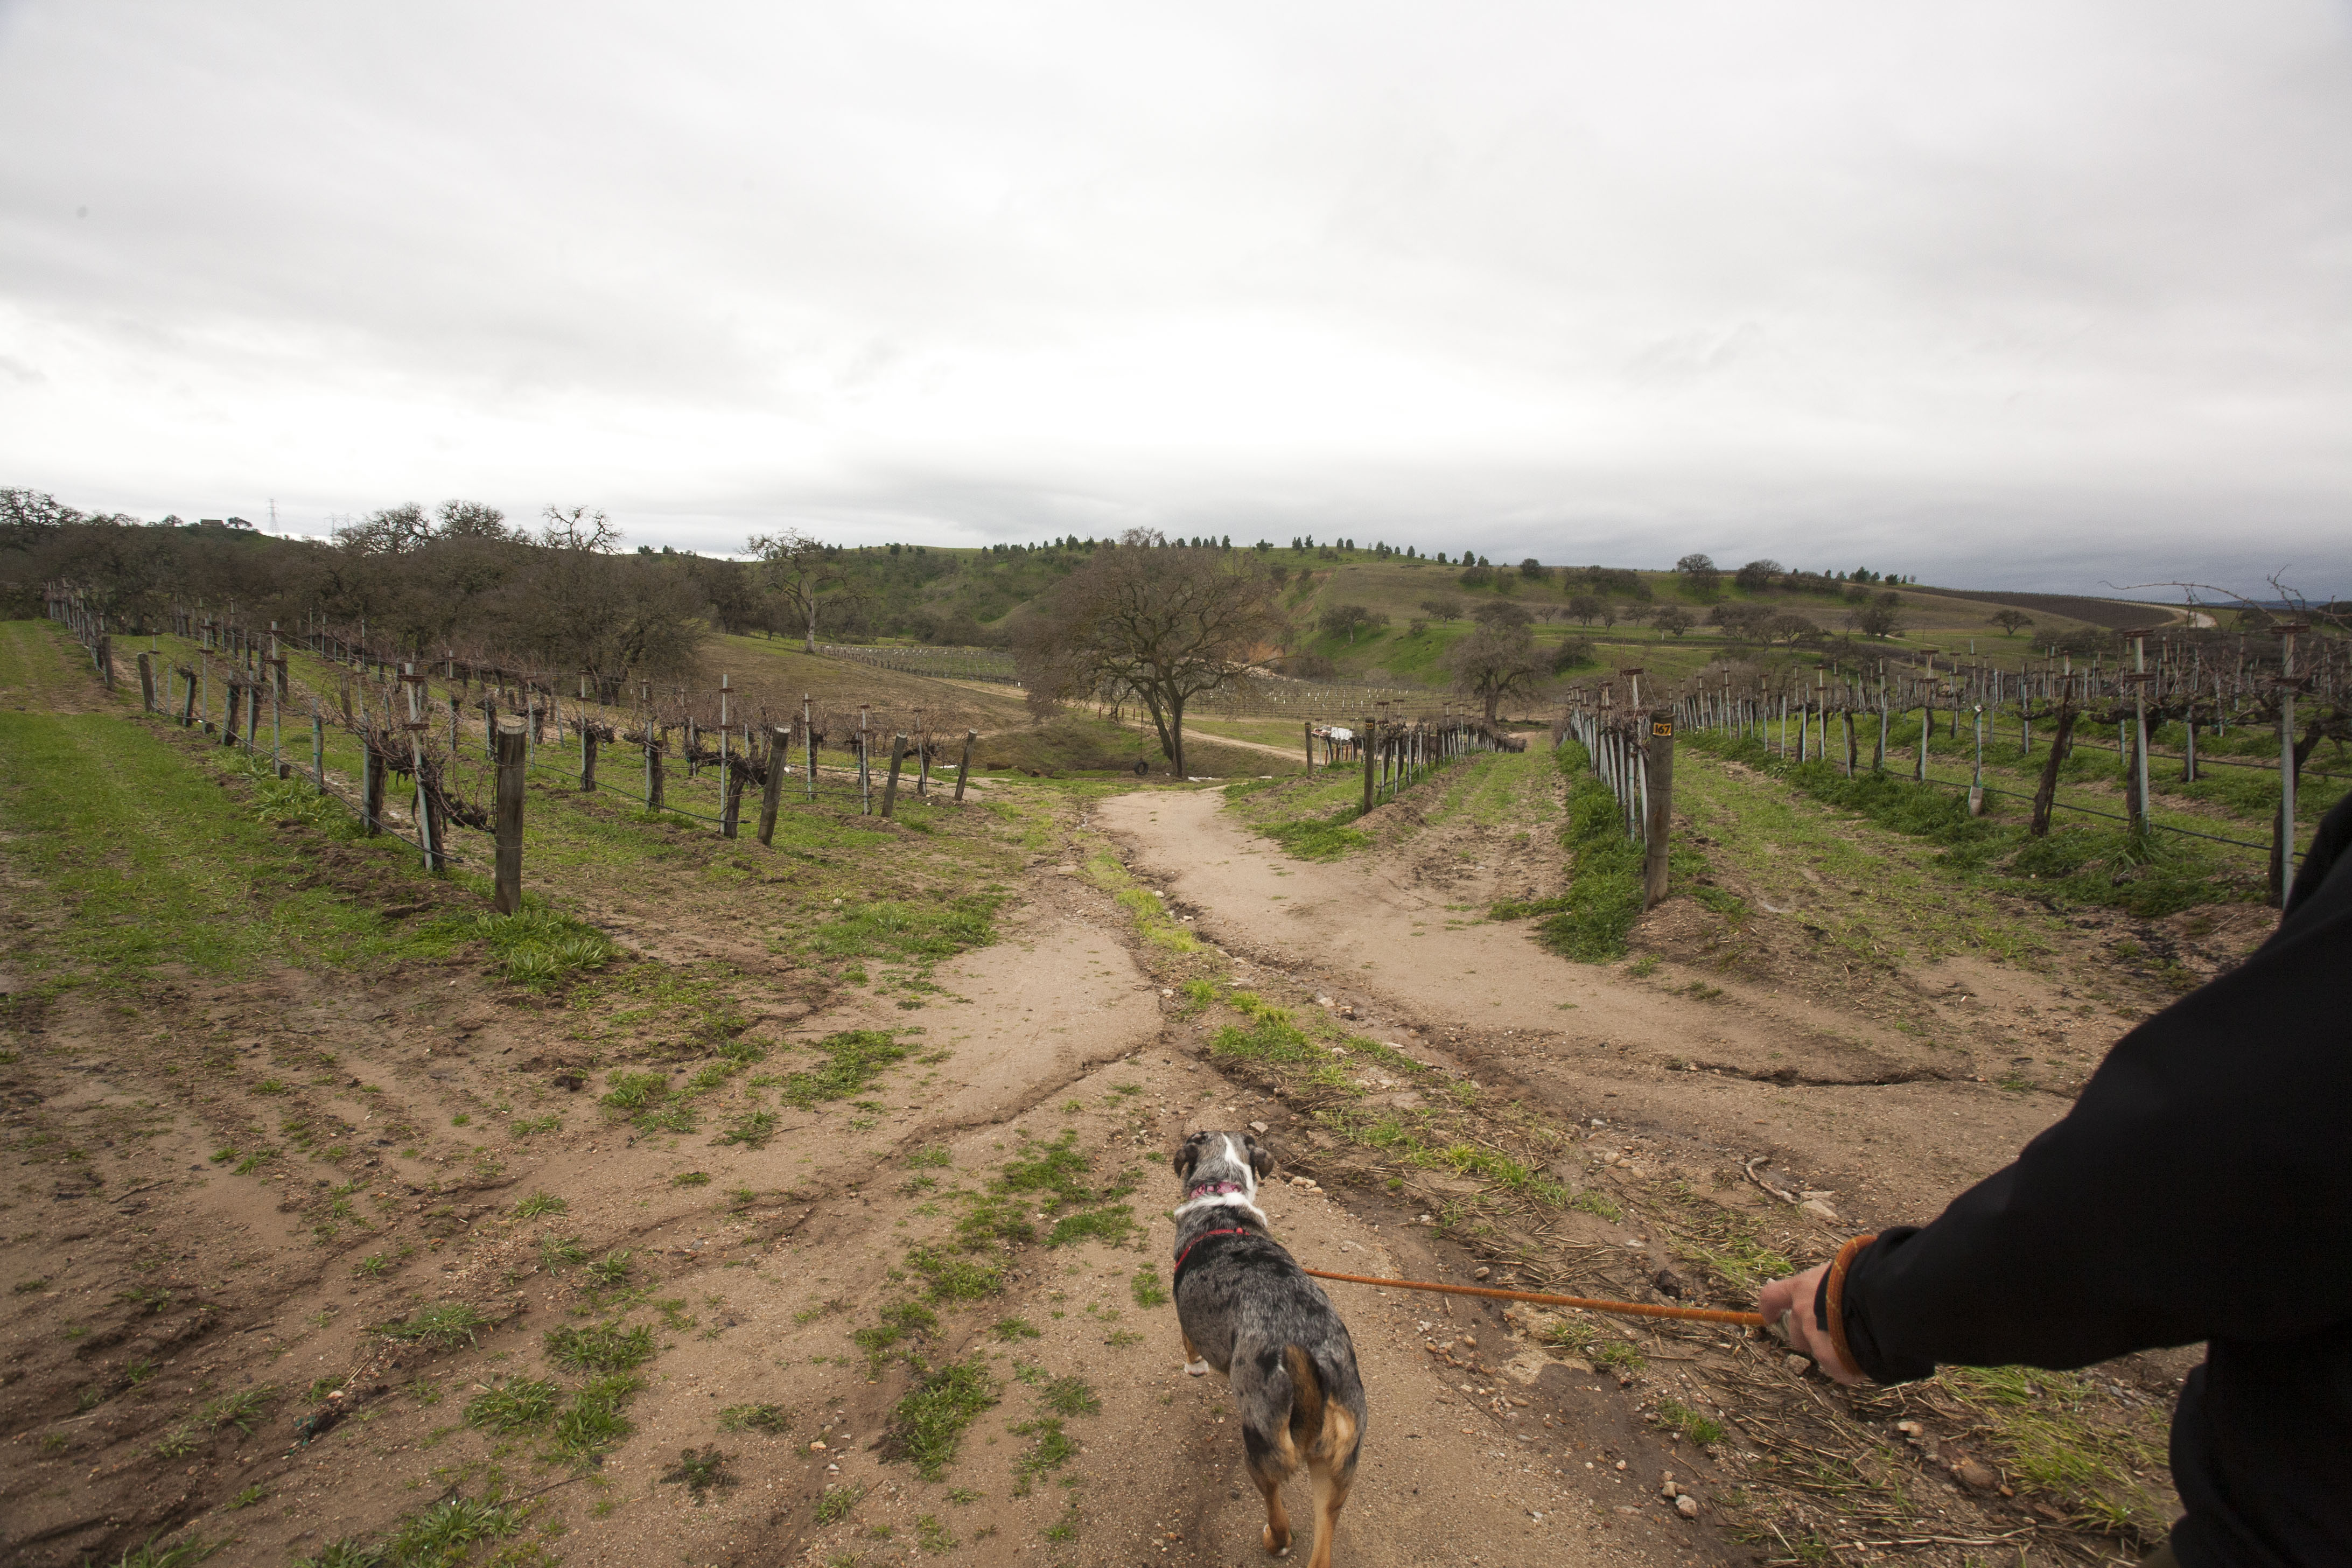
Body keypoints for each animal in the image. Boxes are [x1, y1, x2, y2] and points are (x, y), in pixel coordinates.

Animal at [1171, 1133, 1373, 1560]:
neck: (1221, 1196)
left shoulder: (1185, 1314)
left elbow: (1189, 1345)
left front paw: (1194, 1367)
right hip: (1336, 1479)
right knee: (1321, 1552)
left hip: (1261, 1446)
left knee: (1278, 1515)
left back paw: (1274, 1540)